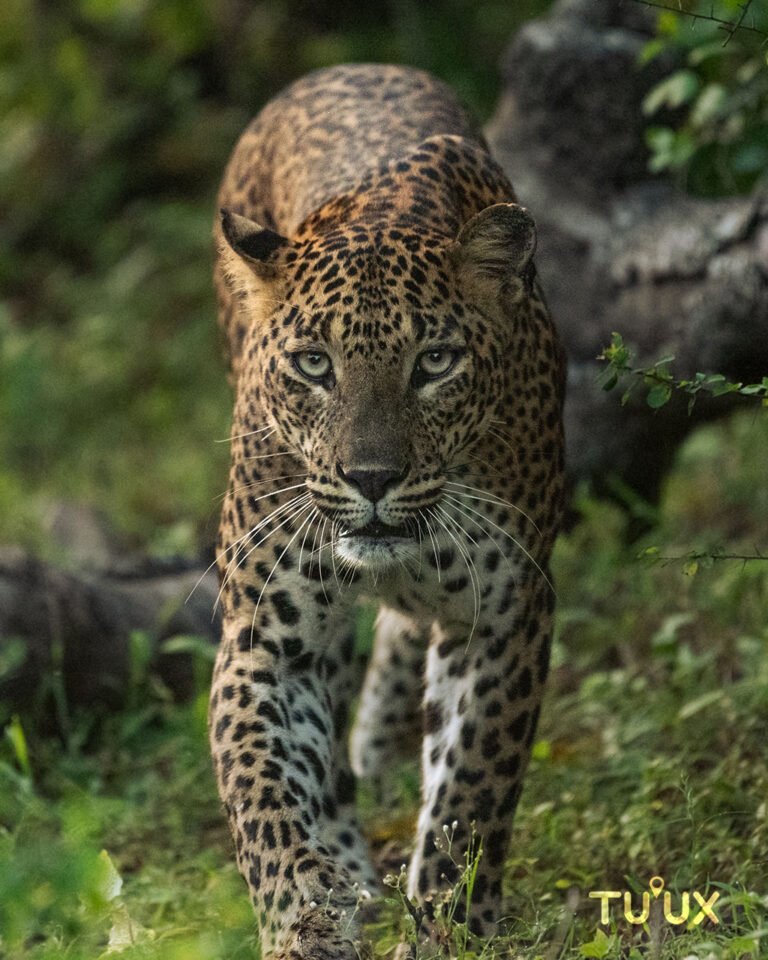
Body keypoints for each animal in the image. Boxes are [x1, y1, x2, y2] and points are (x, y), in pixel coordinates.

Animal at [209, 63, 565, 959]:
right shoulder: (265, 637)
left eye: (434, 362)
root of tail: (344, 67)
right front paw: (306, 919)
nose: (371, 477)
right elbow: (267, 798)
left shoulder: (504, 618)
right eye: (313, 364)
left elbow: (470, 793)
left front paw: (449, 927)